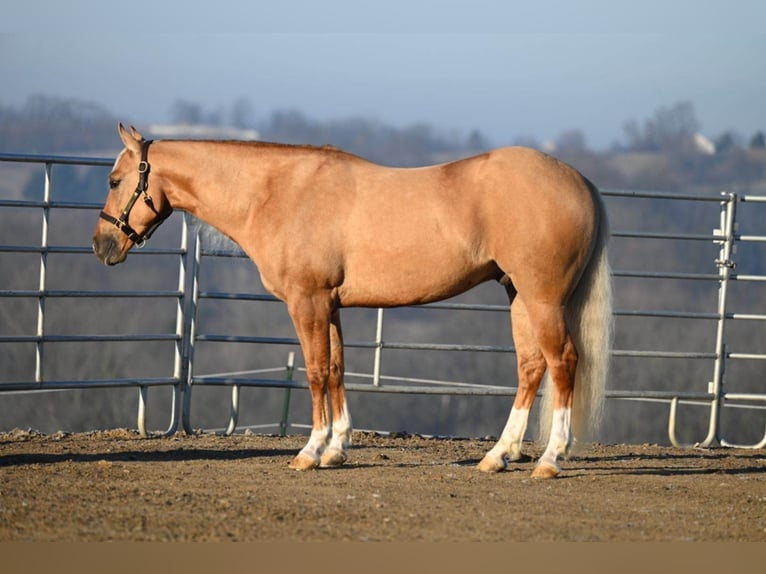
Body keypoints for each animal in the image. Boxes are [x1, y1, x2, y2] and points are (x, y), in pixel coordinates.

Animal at [93, 124, 616, 480]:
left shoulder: (306, 302)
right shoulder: (330, 305)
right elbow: (337, 369)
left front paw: (310, 452)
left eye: (115, 180)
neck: (279, 193)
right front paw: (337, 448)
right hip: (518, 295)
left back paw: (550, 459)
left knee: (563, 362)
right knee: (531, 366)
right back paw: (497, 456)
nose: (102, 246)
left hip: (543, 298)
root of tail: (580, 182)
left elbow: (315, 372)